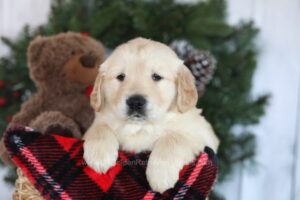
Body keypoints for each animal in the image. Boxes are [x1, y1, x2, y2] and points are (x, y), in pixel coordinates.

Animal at [83, 37, 219, 194]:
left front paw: (160, 175)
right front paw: (99, 155)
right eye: (121, 76)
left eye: (156, 77)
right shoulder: (98, 121)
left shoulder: (202, 135)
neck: (140, 127)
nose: (135, 102)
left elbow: (174, 138)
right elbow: (99, 128)